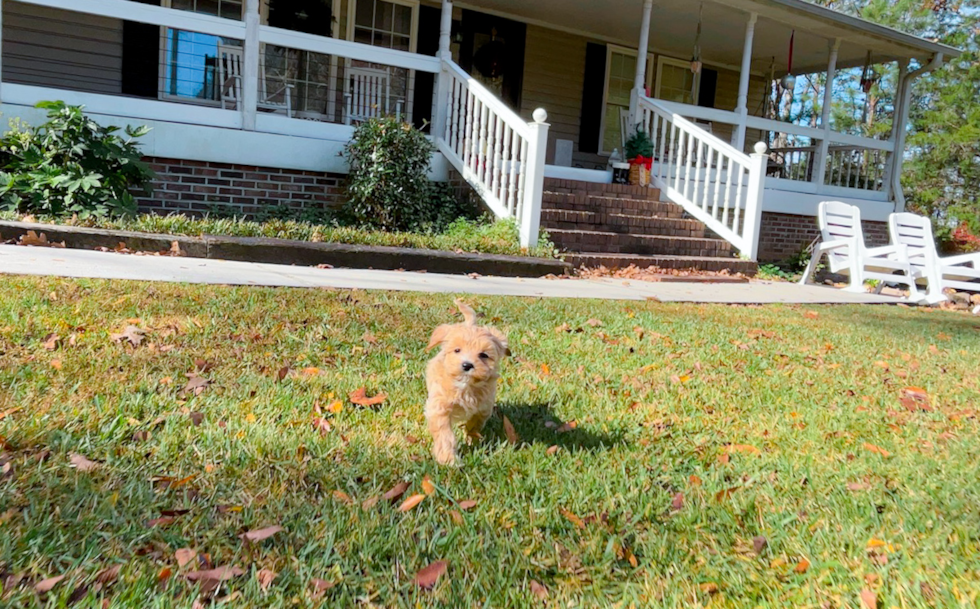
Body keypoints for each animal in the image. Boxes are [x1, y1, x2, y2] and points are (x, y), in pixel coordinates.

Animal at [424, 296, 510, 464]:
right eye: (457, 350)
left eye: (483, 355)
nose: (467, 365)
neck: (465, 386)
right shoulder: (440, 407)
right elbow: (445, 435)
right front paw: (448, 458)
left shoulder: (483, 408)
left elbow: (474, 425)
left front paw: (472, 440)